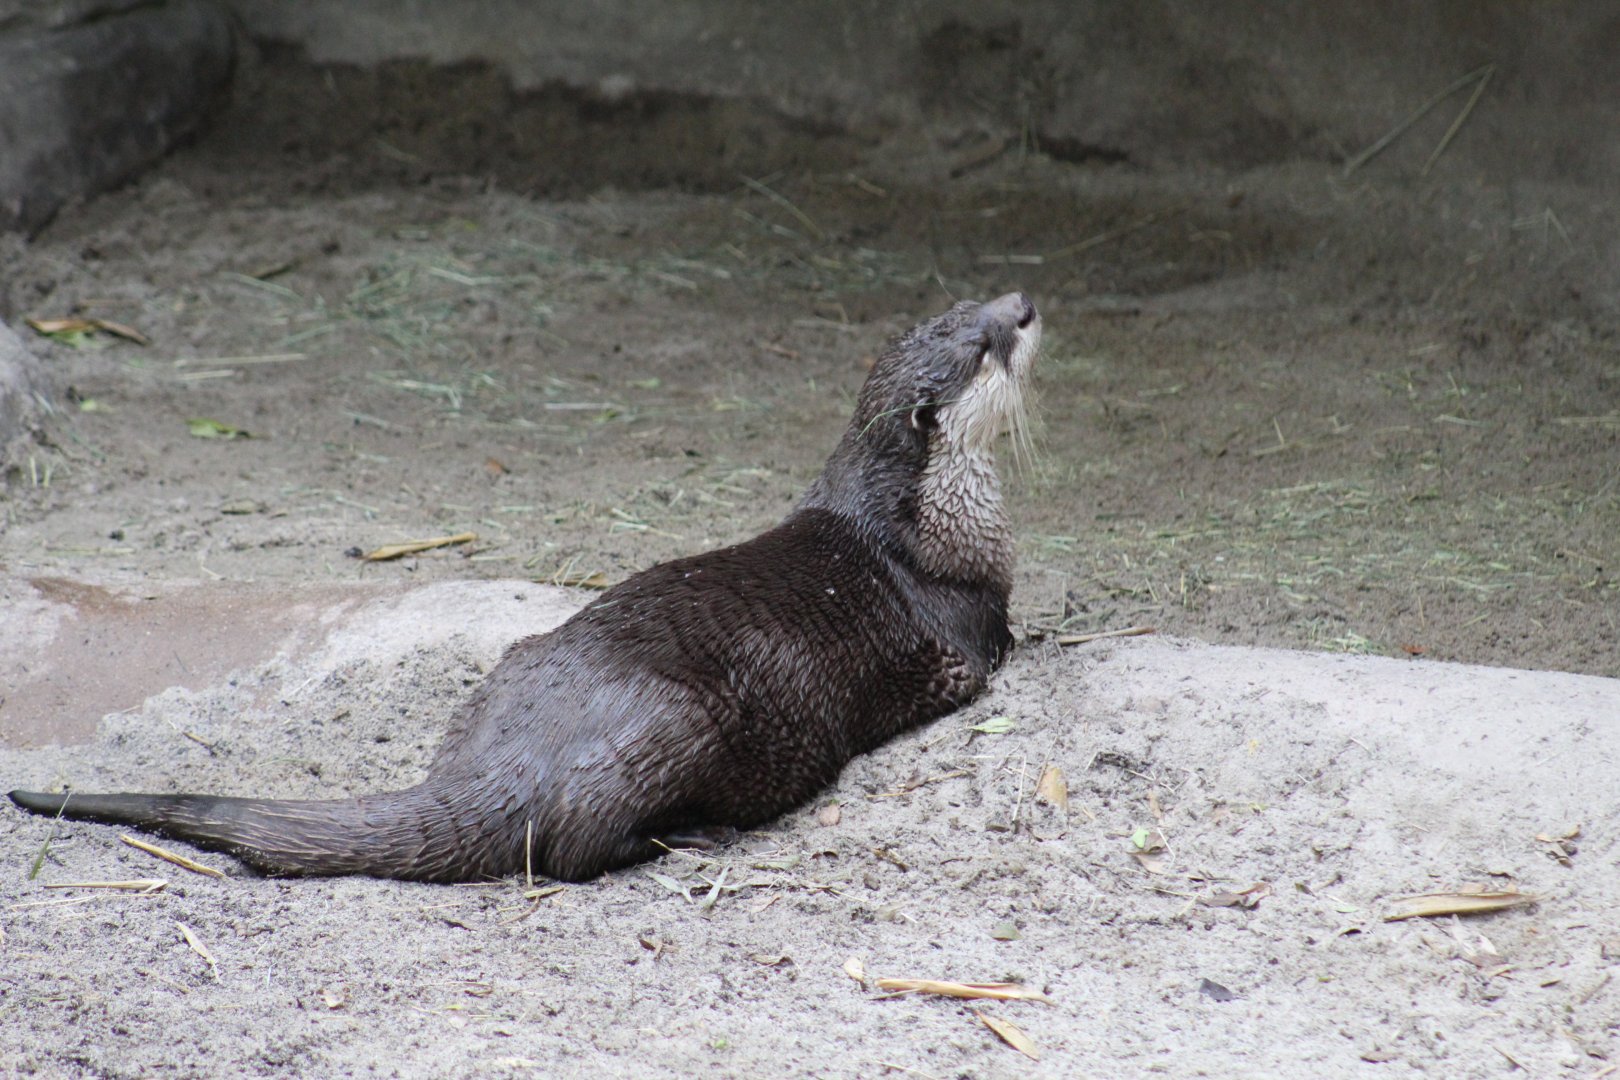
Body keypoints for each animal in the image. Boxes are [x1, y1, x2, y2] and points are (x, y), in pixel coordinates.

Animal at [9, 292, 1041, 883]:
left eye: (973, 304)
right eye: (982, 345)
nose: (1023, 301)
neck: (928, 521)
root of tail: (505, 767)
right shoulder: (965, 633)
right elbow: (991, 653)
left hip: (514, 661)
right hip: (674, 726)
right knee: (573, 848)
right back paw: (689, 839)